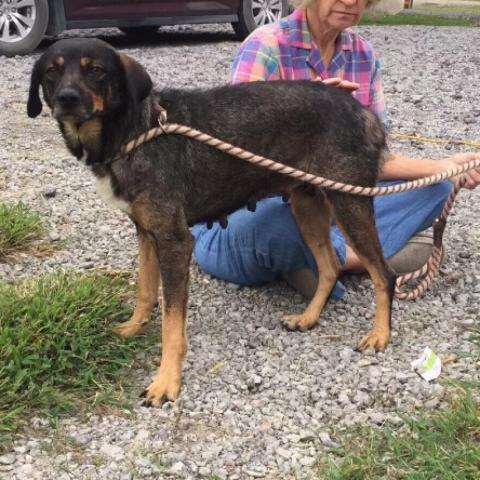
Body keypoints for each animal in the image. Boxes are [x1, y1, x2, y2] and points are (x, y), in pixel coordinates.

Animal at [27, 37, 394, 406]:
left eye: (96, 70)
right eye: (51, 71)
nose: (67, 99)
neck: (136, 130)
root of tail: (365, 113)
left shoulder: (175, 241)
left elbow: (172, 323)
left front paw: (166, 380)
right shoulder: (147, 232)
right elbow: (145, 290)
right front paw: (133, 327)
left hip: (349, 203)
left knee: (383, 273)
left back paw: (379, 334)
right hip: (307, 204)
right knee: (330, 265)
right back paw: (308, 317)